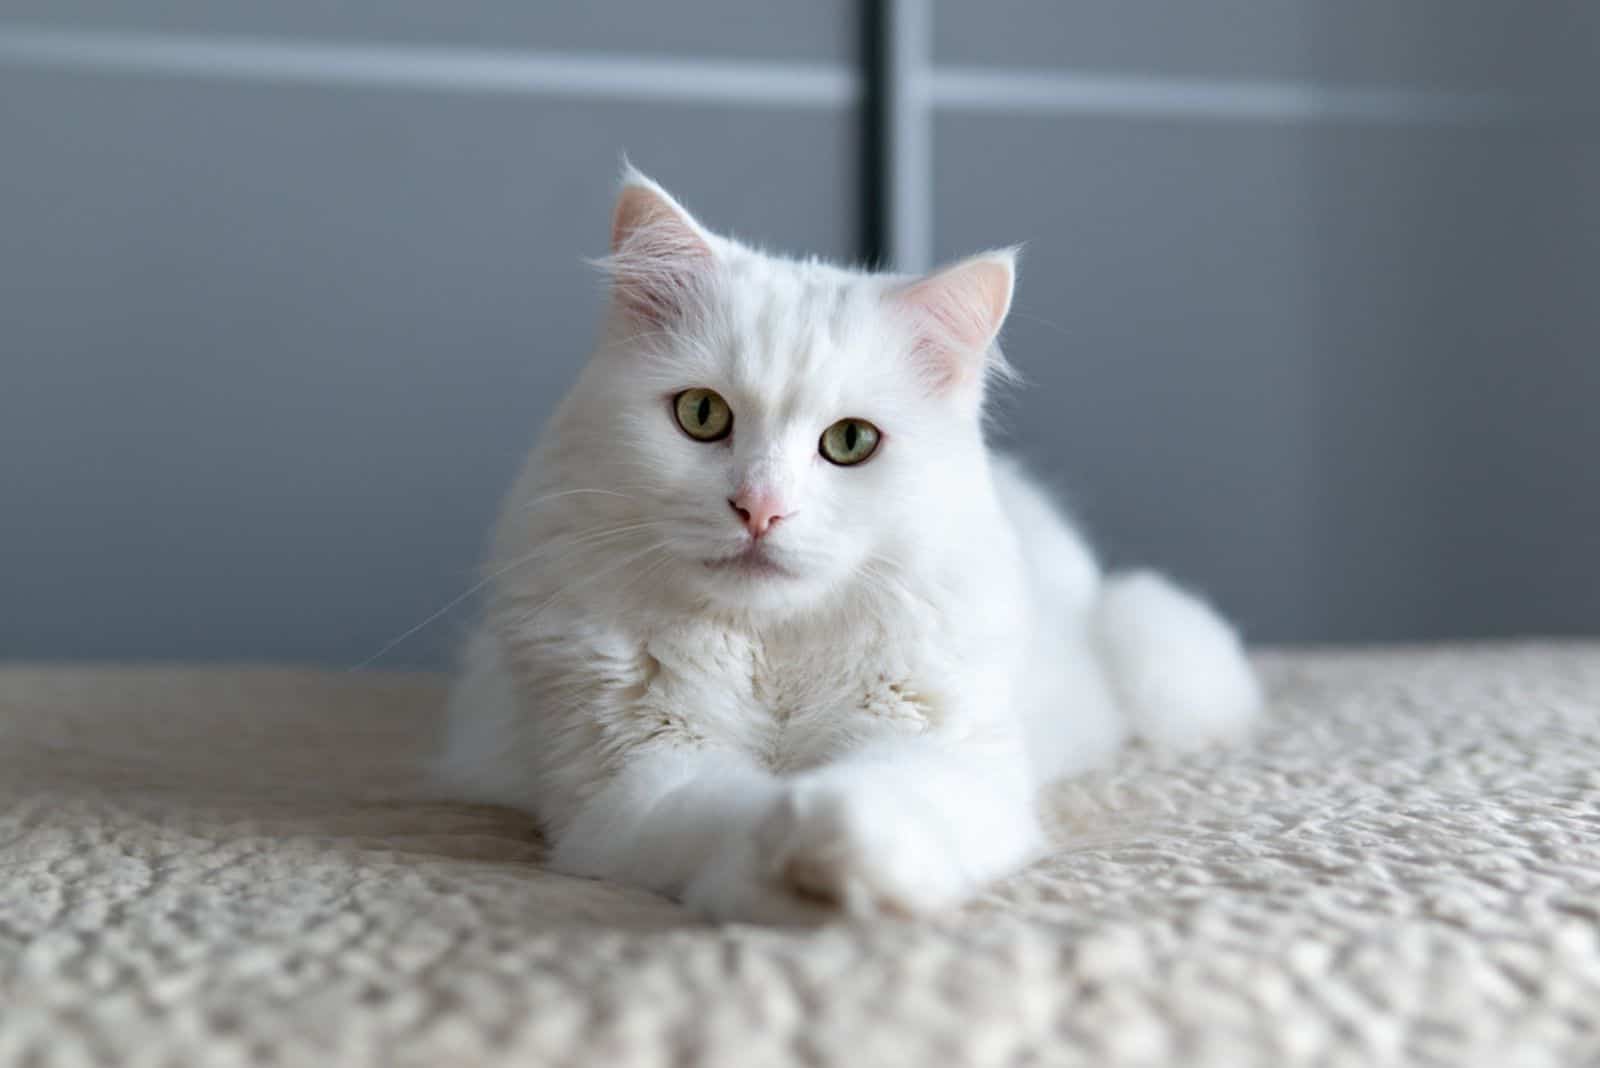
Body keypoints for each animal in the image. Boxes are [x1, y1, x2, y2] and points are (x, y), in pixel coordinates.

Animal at [441, 171, 1260, 920]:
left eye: (850, 442)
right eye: (702, 414)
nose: (760, 509)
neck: (770, 652)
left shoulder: (943, 750)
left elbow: (878, 797)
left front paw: (848, 850)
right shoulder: (640, 777)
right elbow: (734, 816)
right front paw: (790, 868)